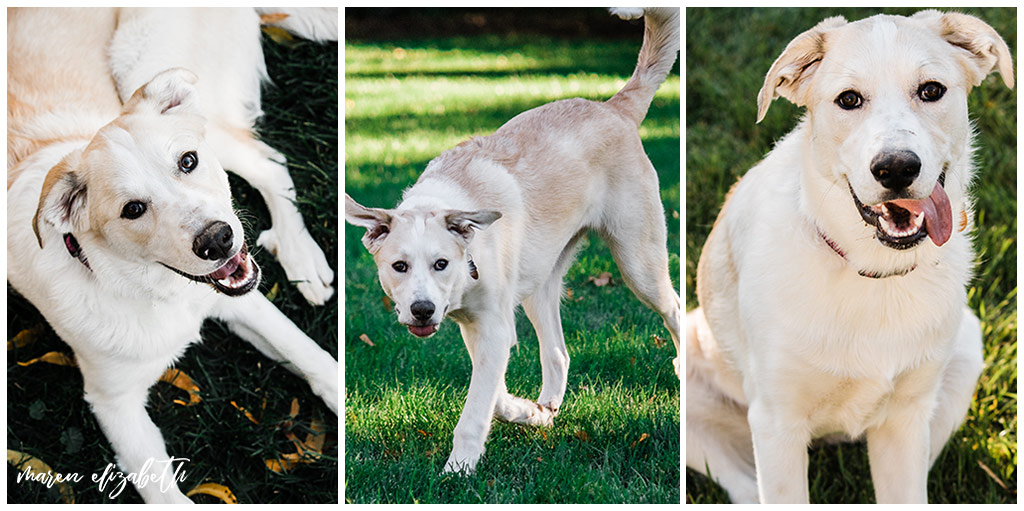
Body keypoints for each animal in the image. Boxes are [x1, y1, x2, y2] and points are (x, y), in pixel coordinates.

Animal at [344, 7, 679, 475]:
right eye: (399, 266)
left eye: (441, 264)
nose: (422, 310)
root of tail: (614, 108)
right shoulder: (481, 327)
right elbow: (495, 395)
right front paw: (525, 412)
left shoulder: (493, 326)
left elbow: (478, 407)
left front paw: (458, 470)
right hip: (541, 285)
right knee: (558, 354)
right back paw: (545, 411)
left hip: (638, 260)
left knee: (674, 308)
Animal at [684, 9, 1011, 505]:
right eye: (849, 100)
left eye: (931, 90)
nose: (896, 168)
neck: (871, 271)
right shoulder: (776, 425)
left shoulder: (904, 423)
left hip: (963, 354)